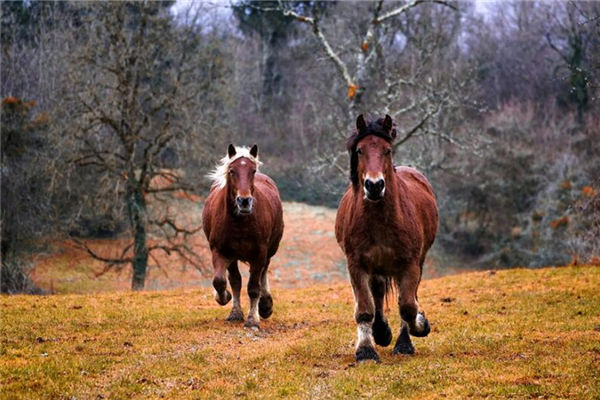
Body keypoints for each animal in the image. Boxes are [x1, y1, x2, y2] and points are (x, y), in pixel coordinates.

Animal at [203, 144, 284, 328]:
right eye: (232, 170)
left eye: (252, 171)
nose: (244, 201)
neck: (239, 223)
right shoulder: (220, 251)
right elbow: (221, 281)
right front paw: (225, 299)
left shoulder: (259, 253)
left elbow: (253, 287)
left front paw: (253, 319)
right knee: (235, 280)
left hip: (269, 251)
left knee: (263, 272)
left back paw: (265, 305)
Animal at [336, 114, 438, 360]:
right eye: (360, 150)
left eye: (387, 150)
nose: (374, 186)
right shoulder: (357, 265)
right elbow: (365, 308)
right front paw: (366, 349)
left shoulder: (410, 264)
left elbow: (408, 306)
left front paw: (418, 328)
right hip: (377, 267)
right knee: (378, 293)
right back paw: (381, 332)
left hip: (416, 262)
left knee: (406, 297)